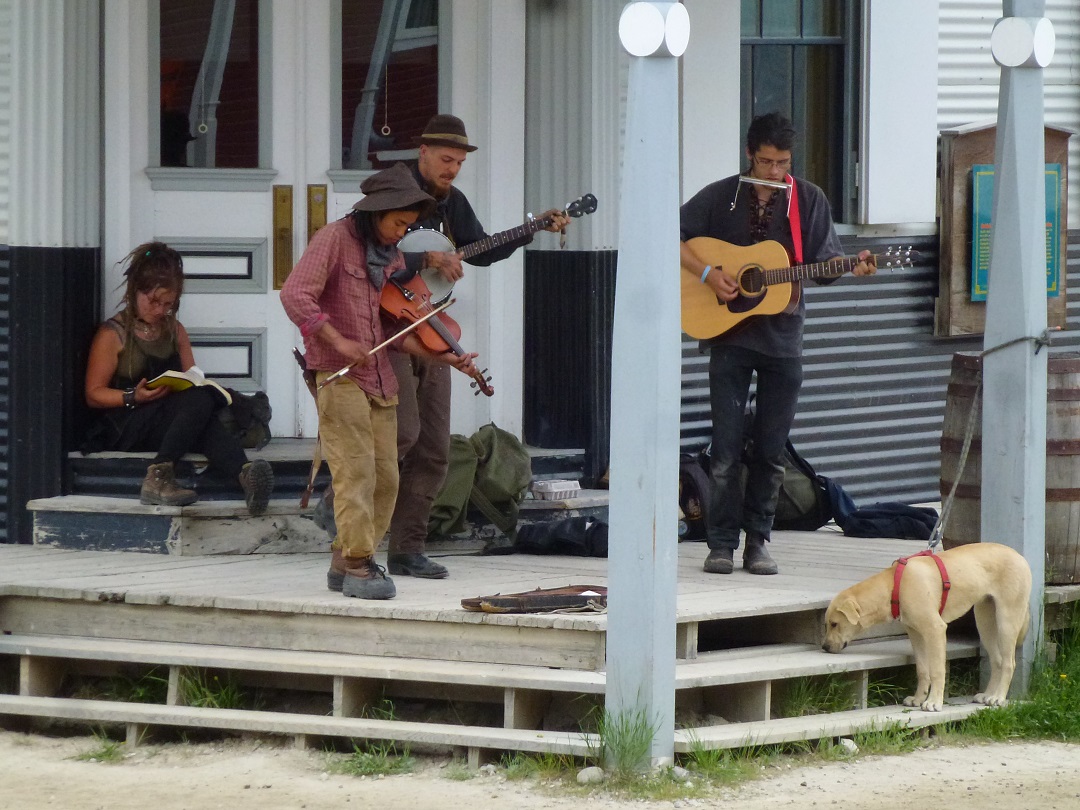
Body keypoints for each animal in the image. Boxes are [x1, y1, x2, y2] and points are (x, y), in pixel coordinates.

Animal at [825, 546, 1028, 708]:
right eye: (827, 624)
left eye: (834, 624)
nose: (824, 647)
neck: (895, 586)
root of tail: (1020, 556)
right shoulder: (916, 634)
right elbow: (922, 670)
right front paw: (918, 699)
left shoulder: (935, 630)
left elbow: (937, 670)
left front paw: (933, 702)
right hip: (985, 623)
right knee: (997, 661)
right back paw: (988, 695)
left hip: (1006, 622)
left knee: (1009, 663)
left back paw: (998, 698)